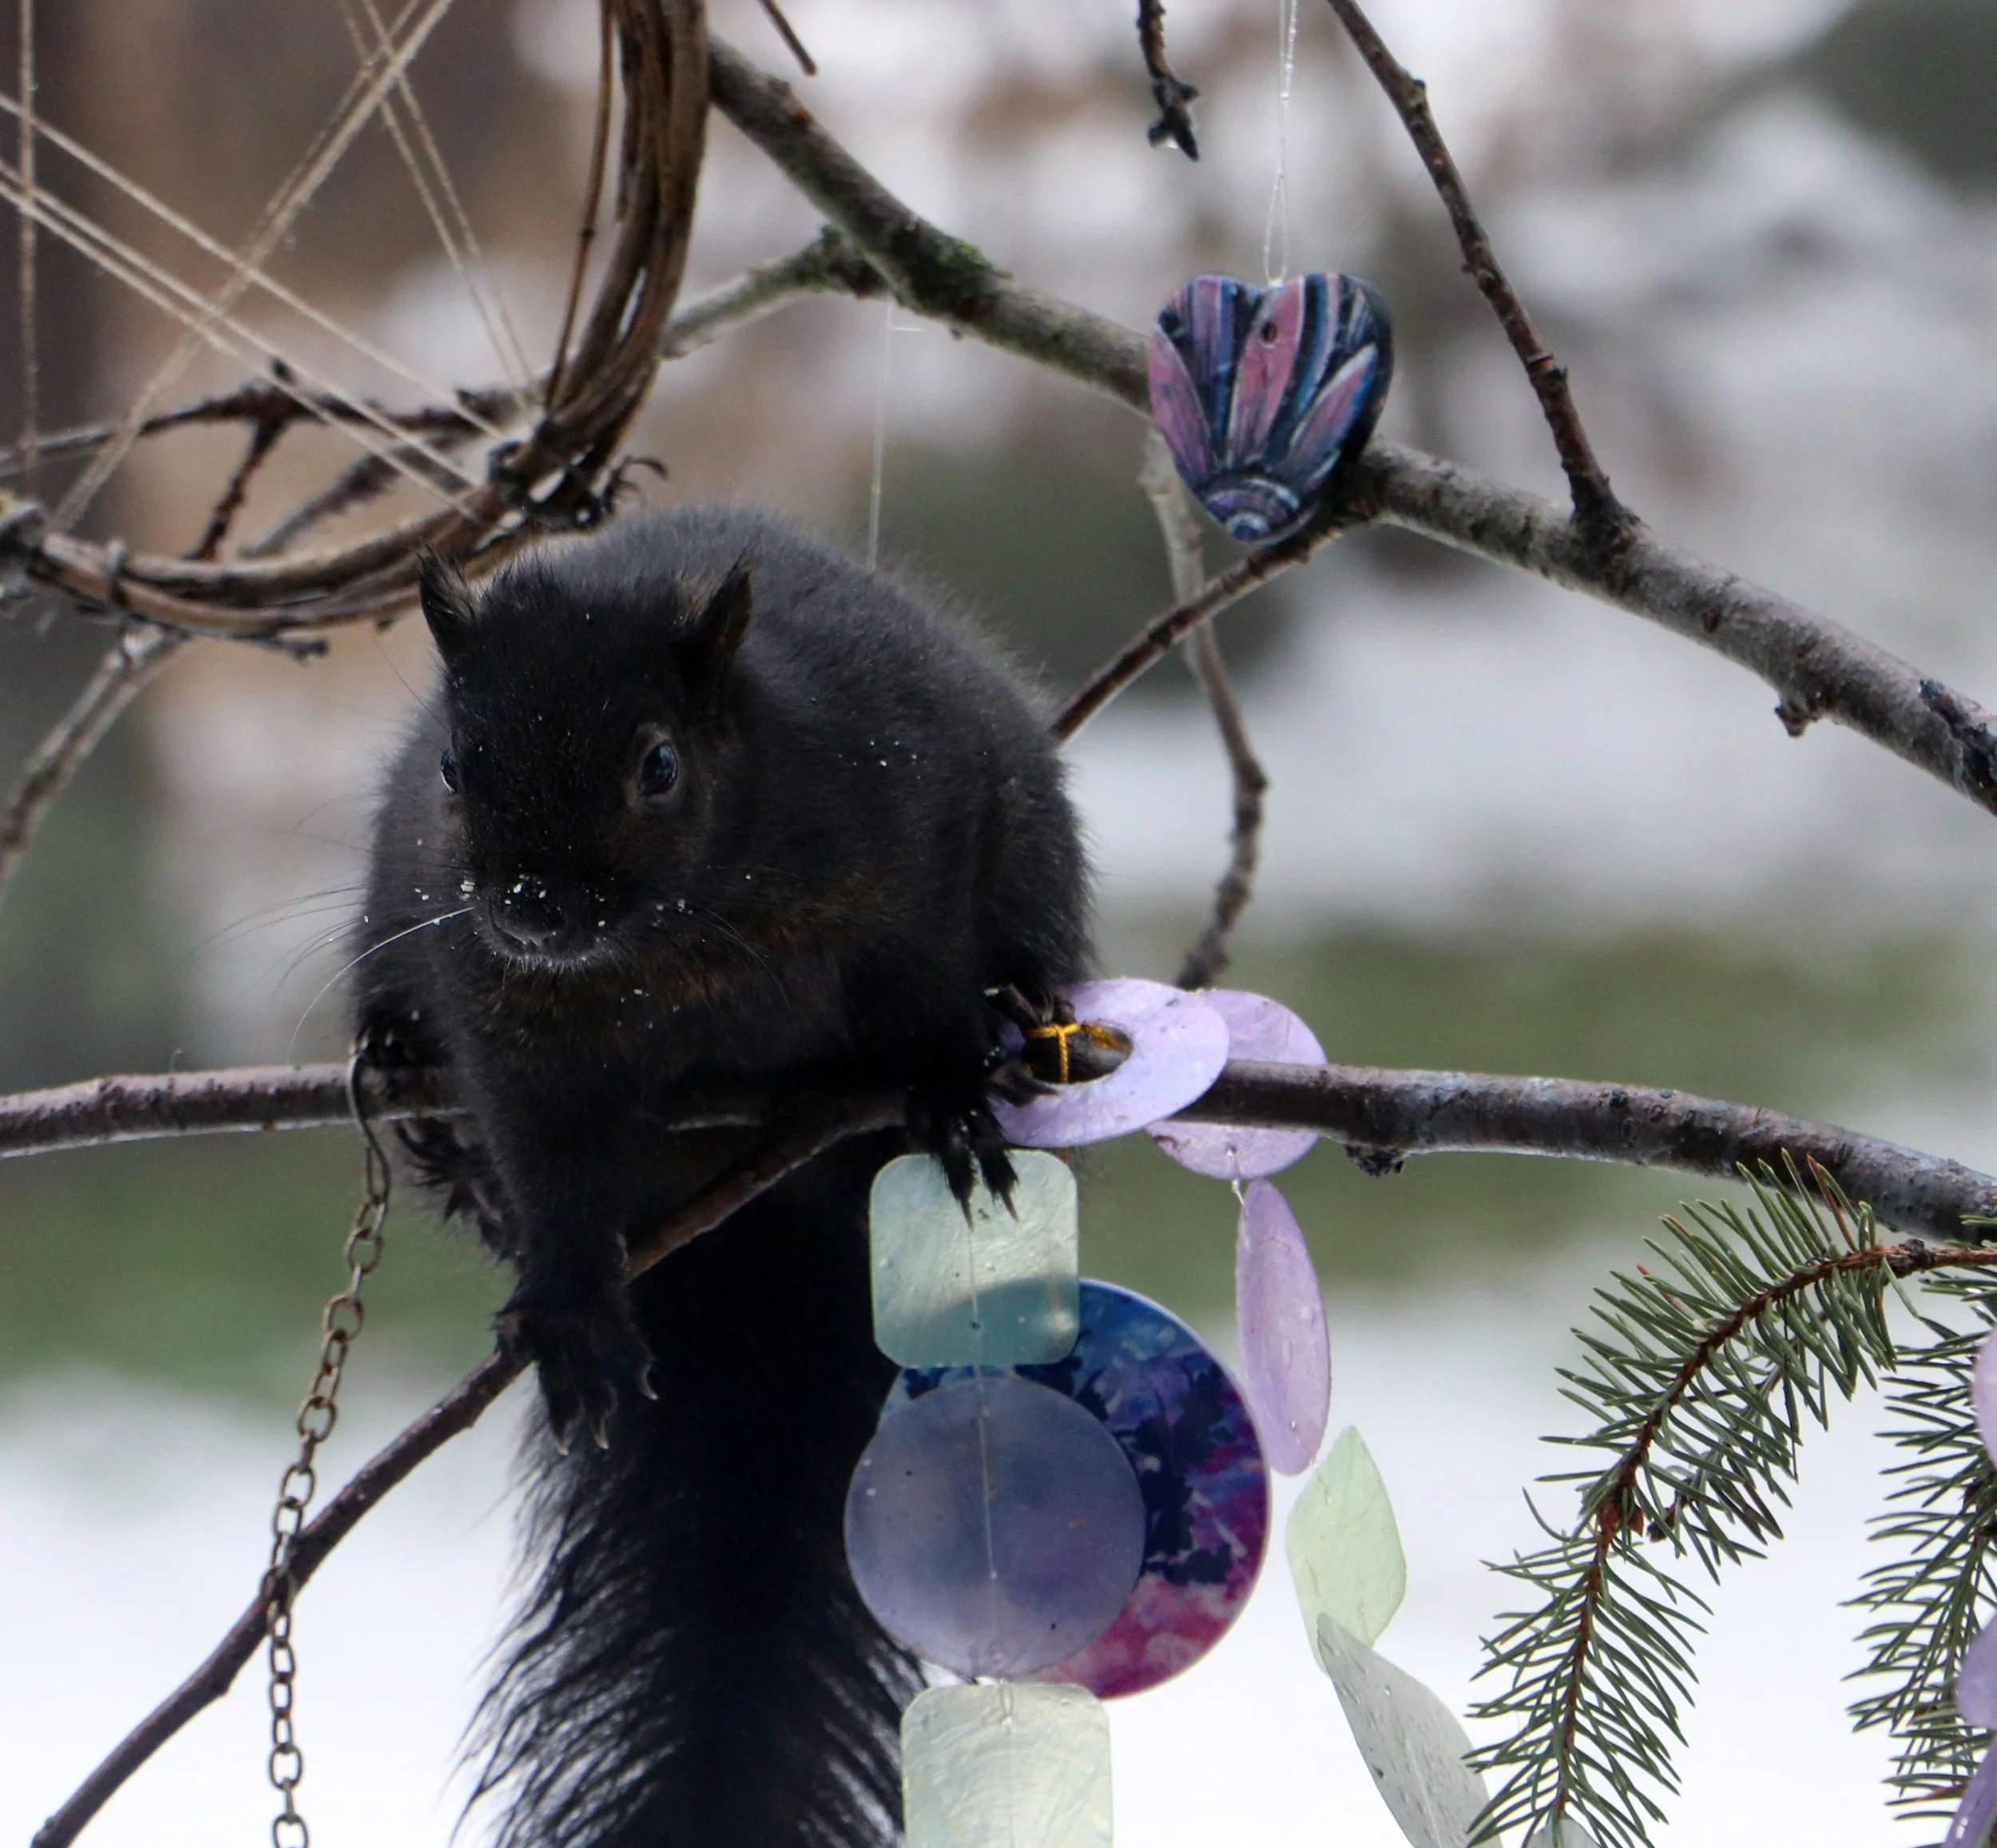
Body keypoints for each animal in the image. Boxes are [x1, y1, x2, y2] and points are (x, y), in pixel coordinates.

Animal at [351, 505, 1091, 1848]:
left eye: (658, 765)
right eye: (450, 767)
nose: (534, 907)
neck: (669, 949)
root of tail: (761, 1234)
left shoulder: (915, 834)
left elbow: (926, 993)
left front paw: (948, 1090)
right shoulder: (505, 1011)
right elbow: (546, 1155)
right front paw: (571, 1297)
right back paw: (415, 1097)